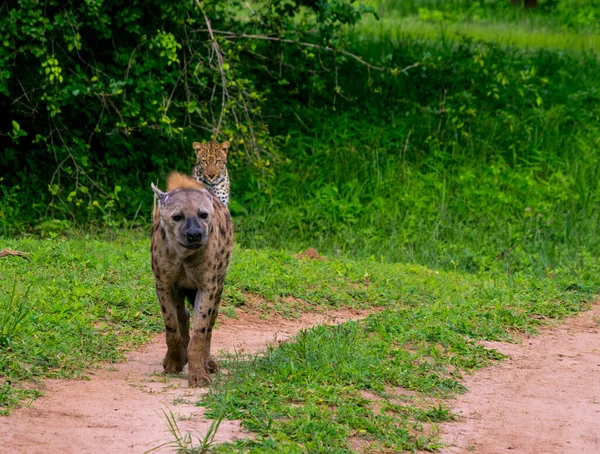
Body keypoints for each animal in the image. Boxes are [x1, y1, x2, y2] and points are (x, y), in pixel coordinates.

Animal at [151, 172, 233, 384]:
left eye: (203, 214)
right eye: (177, 216)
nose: (195, 234)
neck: (183, 256)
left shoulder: (208, 285)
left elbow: (200, 330)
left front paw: (198, 375)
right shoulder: (164, 283)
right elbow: (171, 326)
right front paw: (173, 363)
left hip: (219, 283)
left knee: (210, 323)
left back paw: (208, 362)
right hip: (178, 289)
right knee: (182, 315)